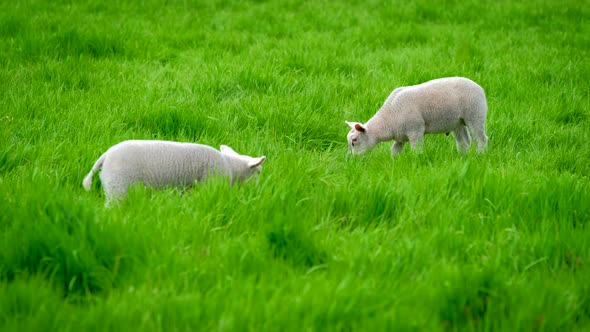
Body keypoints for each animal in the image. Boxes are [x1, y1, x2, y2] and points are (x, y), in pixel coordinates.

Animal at [82, 140, 268, 205]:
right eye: (258, 172)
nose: (260, 190)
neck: (230, 166)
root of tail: (105, 157)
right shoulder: (211, 182)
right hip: (118, 187)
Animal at [346, 76, 490, 156]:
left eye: (354, 140)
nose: (353, 159)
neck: (388, 118)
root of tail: (480, 88)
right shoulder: (400, 136)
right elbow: (394, 150)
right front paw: (394, 163)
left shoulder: (415, 130)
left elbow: (417, 150)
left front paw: (417, 160)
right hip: (457, 122)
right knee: (464, 141)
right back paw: (462, 157)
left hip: (475, 114)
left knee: (481, 139)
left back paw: (480, 155)